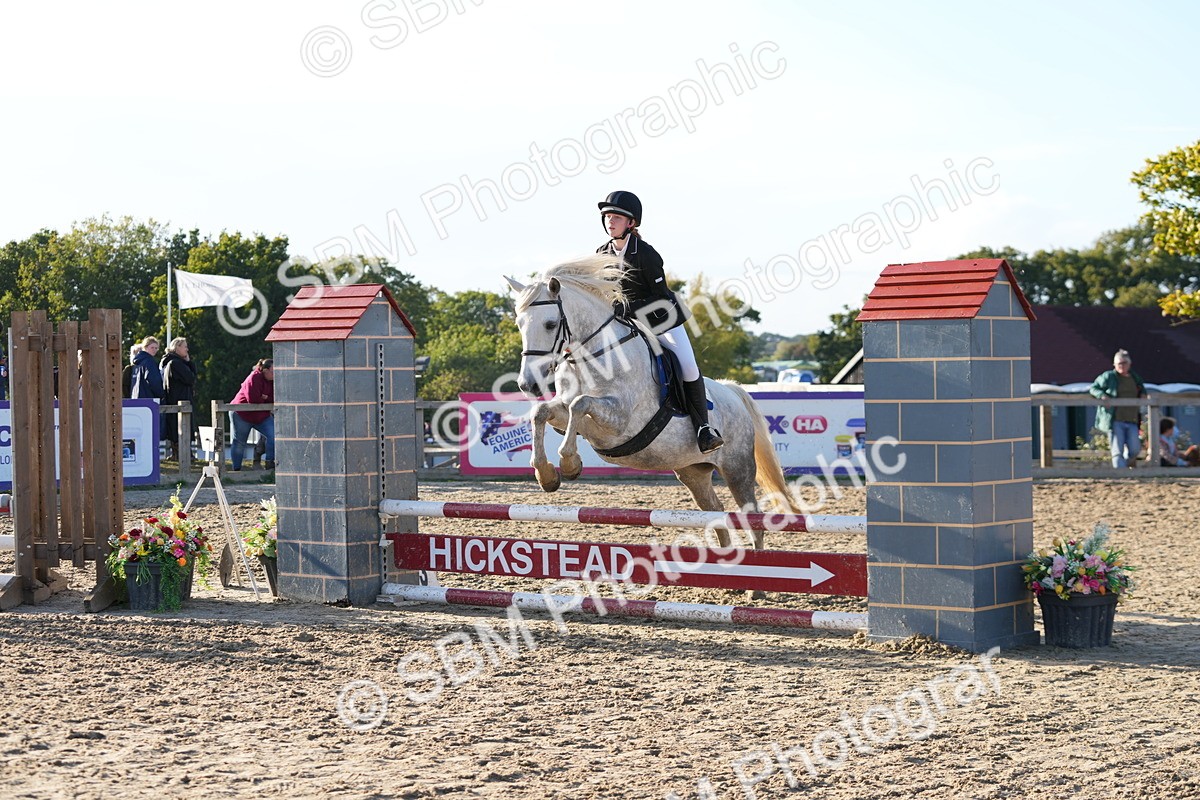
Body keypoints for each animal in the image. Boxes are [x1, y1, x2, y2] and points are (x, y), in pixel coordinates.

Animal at [505, 254, 800, 550]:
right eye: (519, 325)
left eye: (550, 324)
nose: (527, 384)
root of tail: (732, 390)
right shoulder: (572, 412)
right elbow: (543, 412)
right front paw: (547, 475)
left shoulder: (618, 420)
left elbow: (581, 404)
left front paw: (569, 464)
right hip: (693, 471)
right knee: (716, 512)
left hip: (738, 468)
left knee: (754, 520)